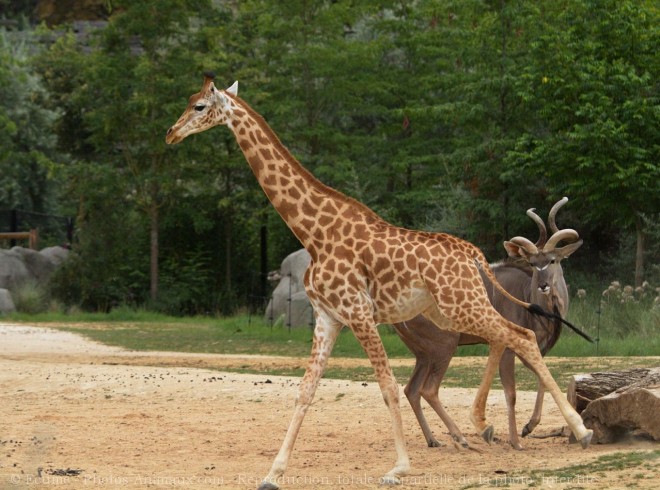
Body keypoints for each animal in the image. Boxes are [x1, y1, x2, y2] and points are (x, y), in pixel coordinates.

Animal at [166, 73, 592, 490]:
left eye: (199, 106)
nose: (171, 133)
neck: (314, 234)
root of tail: (473, 254)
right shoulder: (328, 318)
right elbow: (305, 391)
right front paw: (272, 475)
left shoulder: (359, 313)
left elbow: (387, 388)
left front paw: (398, 468)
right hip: (448, 312)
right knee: (507, 338)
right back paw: (484, 426)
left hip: (460, 305)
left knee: (520, 337)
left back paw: (578, 430)